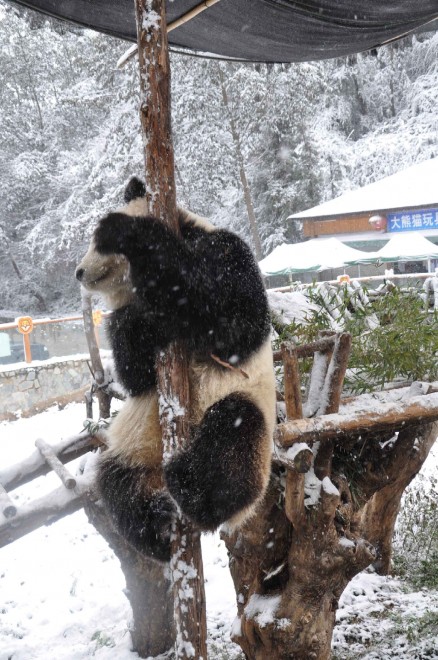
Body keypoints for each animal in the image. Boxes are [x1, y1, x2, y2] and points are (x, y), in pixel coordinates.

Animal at [76, 177, 276, 562]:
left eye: (96, 242)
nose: (79, 272)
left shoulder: (224, 250)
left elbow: (230, 319)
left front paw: (124, 230)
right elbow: (135, 377)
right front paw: (137, 322)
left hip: (252, 433)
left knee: (234, 432)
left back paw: (193, 490)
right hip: (132, 448)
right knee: (116, 484)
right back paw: (155, 525)